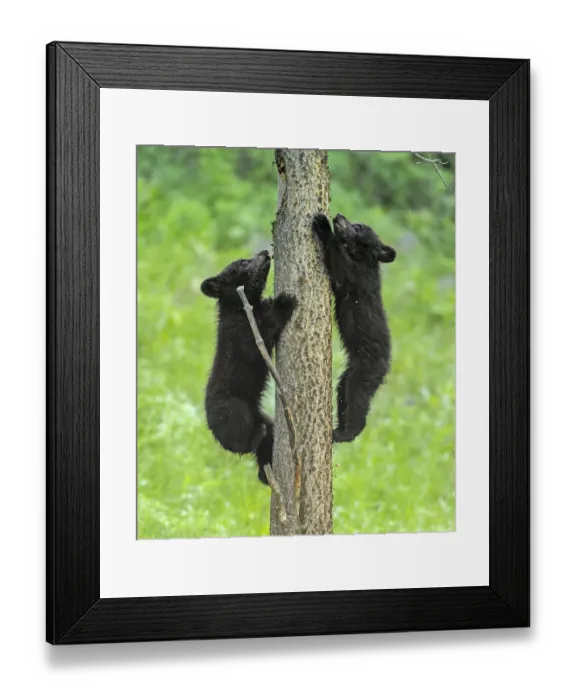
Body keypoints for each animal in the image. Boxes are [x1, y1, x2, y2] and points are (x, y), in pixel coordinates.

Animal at [201, 250, 297, 484]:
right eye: (243, 262)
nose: (264, 252)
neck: (241, 308)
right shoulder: (239, 333)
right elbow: (257, 345)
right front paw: (284, 303)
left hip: (259, 415)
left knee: (268, 436)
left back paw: (265, 473)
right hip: (234, 408)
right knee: (239, 442)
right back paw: (253, 439)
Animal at [312, 213, 396, 443]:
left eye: (358, 226)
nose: (339, 215)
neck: (362, 257)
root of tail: (386, 365)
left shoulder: (358, 278)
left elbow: (342, 270)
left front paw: (323, 225)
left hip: (364, 373)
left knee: (357, 400)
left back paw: (344, 434)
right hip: (348, 374)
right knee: (343, 394)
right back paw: (338, 430)